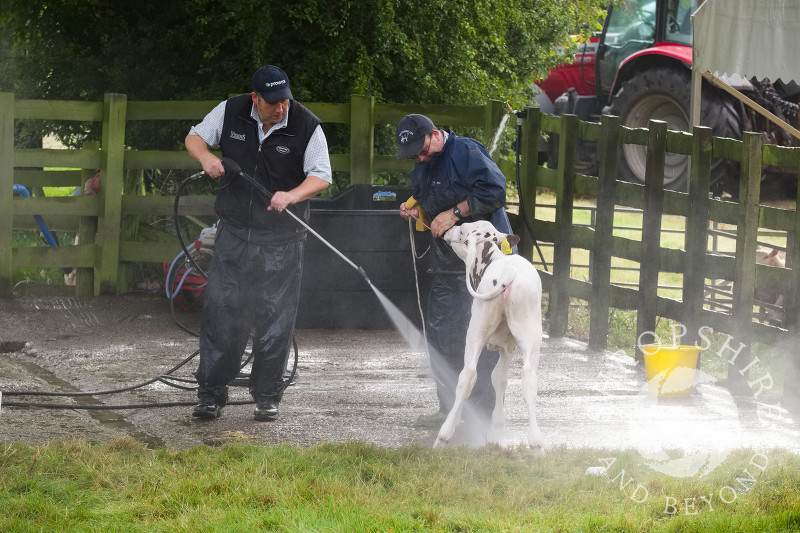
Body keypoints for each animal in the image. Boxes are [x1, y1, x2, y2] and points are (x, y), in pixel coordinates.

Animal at [434, 220, 548, 448]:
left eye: (462, 230)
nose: (448, 230)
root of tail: (508, 272)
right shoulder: (508, 347)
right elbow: (499, 378)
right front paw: (497, 428)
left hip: (475, 332)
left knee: (467, 376)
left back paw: (444, 435)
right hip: (531, 336)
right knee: (529, 377)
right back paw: (536, 443)